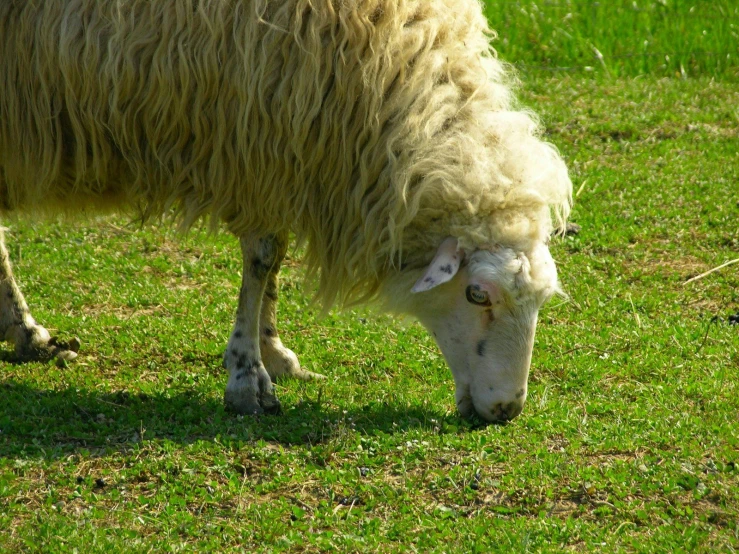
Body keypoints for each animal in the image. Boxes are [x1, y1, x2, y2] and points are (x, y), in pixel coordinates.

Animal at [0, 0, 572, 420]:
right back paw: (28, 331)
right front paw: (247, 377)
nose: (507, 409)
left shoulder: (282, 153)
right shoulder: (252, 143)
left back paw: (25, 335)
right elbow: (261, 258)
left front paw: (274, 353)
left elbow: (271, 262)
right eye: (477, 294)